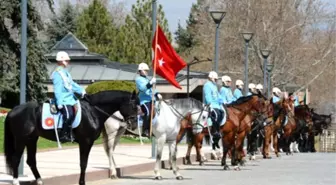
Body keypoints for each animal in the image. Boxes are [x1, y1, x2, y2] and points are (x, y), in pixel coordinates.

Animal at [4, 90, 138, 185]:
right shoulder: (86, 142)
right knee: (16, 159)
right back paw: (16, 181)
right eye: (134, 106)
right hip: (21, 139)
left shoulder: (87, 142)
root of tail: (13, 110)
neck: (92, 111)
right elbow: (83, 163)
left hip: (32, 139)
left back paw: (40, 180)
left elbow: (83, 163)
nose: (134, 125)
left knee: (31, 160)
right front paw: (82, 182)